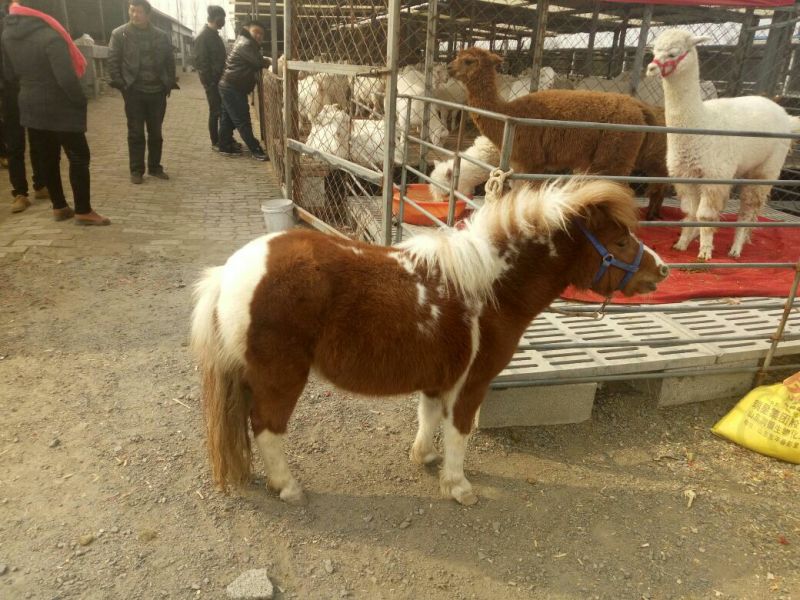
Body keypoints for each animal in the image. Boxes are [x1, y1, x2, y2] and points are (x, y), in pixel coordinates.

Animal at [190, 178, 669, 506]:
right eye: (620, 240)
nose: (662, 271)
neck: (491, 289)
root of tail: (229, 271)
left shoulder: (439, 378)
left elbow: (428, 417)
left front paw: (422, 458)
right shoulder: (472, 384)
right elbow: (459, 432)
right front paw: (458, 486)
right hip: (281, 379)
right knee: (266, 427)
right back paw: (288, 487)